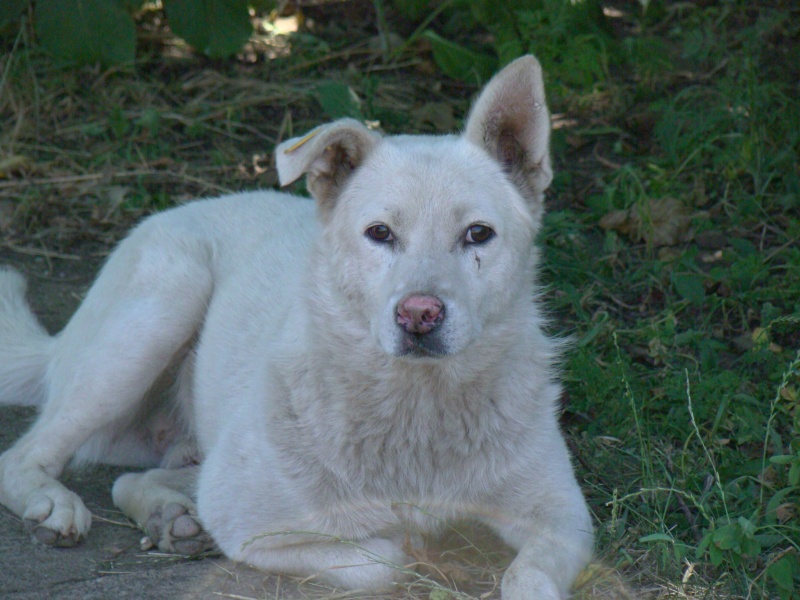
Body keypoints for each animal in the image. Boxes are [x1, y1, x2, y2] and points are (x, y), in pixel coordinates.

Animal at [1, 55, 592, 596]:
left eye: (478, 234)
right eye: (380, 233)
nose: (419, 315)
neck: (417, 412)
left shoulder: (565, 520)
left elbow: (528, 576)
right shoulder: (246, 519)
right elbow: (384, 557)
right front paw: (411, 543)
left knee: (136, 476)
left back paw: (171, 516)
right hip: (160, 310)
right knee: (24, 456)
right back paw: (55, 503)